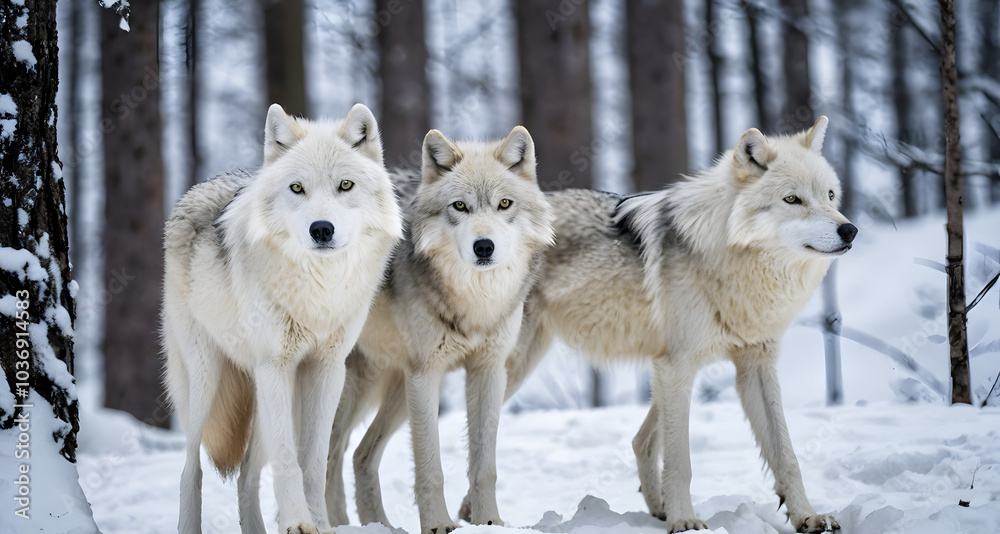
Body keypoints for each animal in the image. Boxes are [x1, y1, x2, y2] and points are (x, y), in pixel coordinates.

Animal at [162, 103, 403, 534]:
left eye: (345, 186)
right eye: (297, 188)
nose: (321, 229)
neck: (317, 293)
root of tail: (196, 188)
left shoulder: (327, 370)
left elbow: (314, 462)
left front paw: (320, 524)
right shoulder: (276, 366)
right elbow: (290, 462)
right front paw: (299, 524)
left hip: (266, 392)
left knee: (246, 475)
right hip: (206, 380)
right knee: (192, 470)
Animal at [323, 126, 555, 534]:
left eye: (505, 204)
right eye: (459, 206)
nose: (484, 247)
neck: (474, 303)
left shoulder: (488, 372)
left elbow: (485, 465)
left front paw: (489, 522)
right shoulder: (426, 374)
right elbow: (430, 465)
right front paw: (437, 524)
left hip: (393, 392)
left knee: (359, 453)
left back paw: (377, 526)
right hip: (351, 389)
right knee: (323, 455)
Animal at [464, 117, 849, 533]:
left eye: (830, 195)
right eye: (792, 200)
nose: (850, 230)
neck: (727, 260)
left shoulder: (753, 366)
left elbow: (786, 454)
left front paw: (808, 516)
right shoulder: (678, 366)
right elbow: (681, 461)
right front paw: (685, 521)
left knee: (640, 440)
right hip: (514, 366)